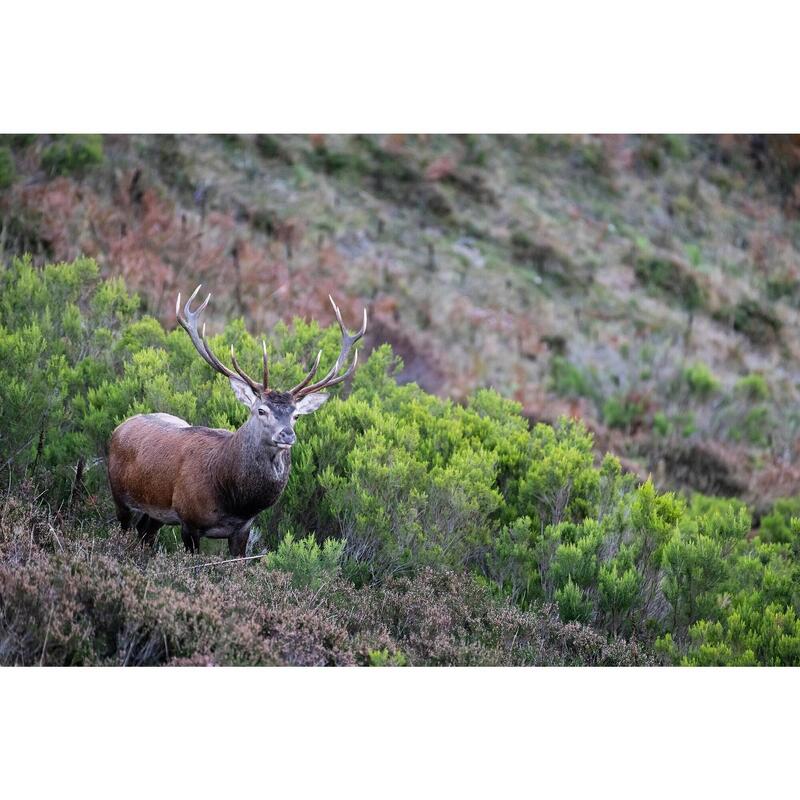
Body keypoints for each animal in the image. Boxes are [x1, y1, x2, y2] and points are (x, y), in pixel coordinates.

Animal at [108, 286, 368, 556]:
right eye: (261, 410)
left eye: (296, 415)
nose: (286, 434)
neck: (233, 500)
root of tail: (120, 427)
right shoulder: (189, 521)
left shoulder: (243, 529)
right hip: (119, 494)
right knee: (125, 528)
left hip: (156, 513)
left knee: (145, 532)